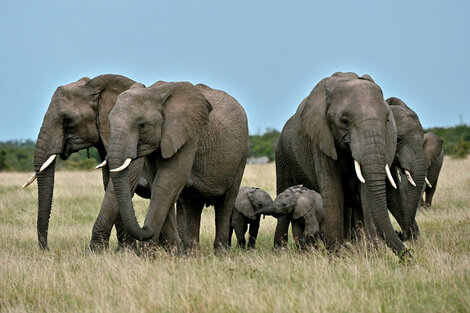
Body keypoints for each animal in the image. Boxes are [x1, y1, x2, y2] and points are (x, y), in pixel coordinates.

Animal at [106, 80, 250, 251]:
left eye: (141, 125)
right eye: (109, 123)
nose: (145, 228)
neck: (155, 92)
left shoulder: (190, 135)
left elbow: (167, 182)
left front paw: (148, 252)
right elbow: (159, 184)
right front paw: (171, 251)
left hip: (241, 156)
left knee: (225, 202)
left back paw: (221, 252)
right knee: (192, 205)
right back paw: (192, 253)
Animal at [274, 71, 410, 256]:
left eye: (387, 120)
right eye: (345, 121)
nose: (407, 256)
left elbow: (366, 194)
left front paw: (372, 254)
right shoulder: (321, 139)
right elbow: (332, 190)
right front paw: (336, 256)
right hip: (282, 156)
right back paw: (280, 251)